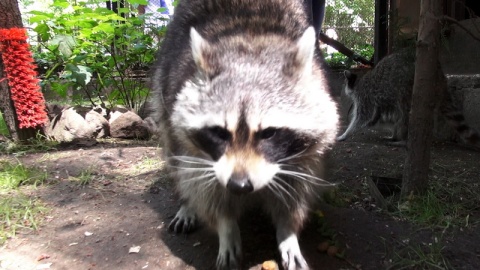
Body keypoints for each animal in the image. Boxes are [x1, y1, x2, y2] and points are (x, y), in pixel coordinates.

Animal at [148, 0, 340, 268]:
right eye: (219, 133)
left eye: (269, 133)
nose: (239, 185)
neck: (252, 40)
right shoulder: (199, 154)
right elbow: (204, 187)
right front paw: (226, 227)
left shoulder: (307, 154)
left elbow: (297, 189)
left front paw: (288, 230)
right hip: (164, 89)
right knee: (175, 156)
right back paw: (187, 204)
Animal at [336, 48, 480, 146]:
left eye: (345, 83)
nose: (344, 89)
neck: (361, 78)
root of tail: (440, 76)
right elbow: (378, 114)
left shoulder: (365, 96)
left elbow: (363, 117)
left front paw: (346, 133)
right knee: (401, 113)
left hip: (411, 85)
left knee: (406, 112)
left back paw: (404, 139)